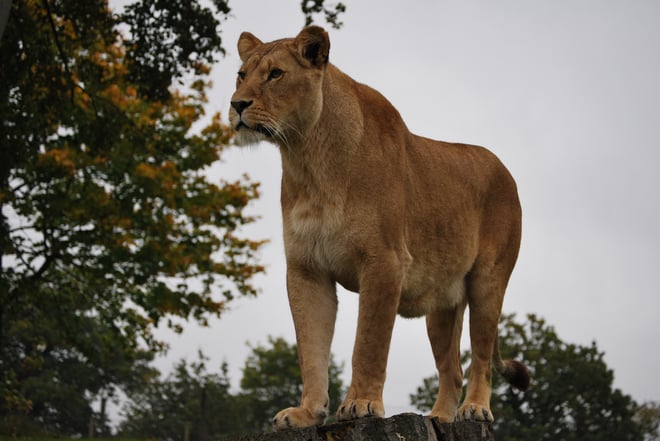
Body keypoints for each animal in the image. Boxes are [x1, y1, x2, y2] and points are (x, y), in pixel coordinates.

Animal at [229, 26, 529, 430]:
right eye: (241, 75)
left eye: (276, 74)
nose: (237, 105)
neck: (307, 159)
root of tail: (504, 169)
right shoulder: (306, 270)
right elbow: (311, 349)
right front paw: (307, 413)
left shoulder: (384, 261)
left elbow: (369, 342)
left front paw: (361, 403)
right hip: (442, 306)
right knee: (451, 370)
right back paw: (439, 417)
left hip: (488, 283)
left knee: (481, 359)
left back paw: (475, 410)